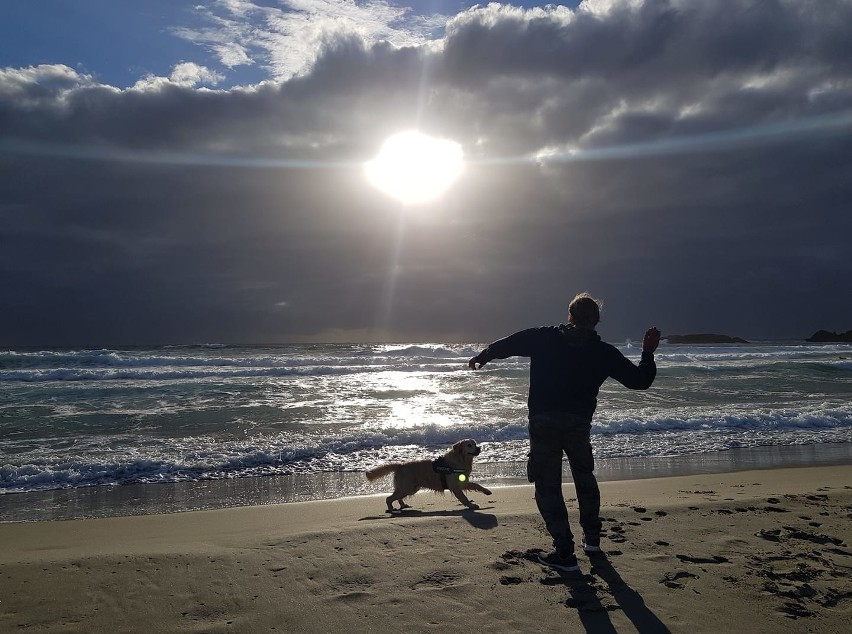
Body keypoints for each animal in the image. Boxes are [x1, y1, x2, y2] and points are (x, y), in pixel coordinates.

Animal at [364, 436, 492, 512]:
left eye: (475, 444)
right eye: (469, 445)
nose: (479, 448)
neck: (460, 459)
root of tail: (400, 465)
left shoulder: (462, 482)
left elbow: (476, 485)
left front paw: (487, 491)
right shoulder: (455, 486)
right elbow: (464, 498)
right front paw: (472, 506)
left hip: (410, 488)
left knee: (398, 497)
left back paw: (403, 505)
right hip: (407, 487)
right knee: (388, 498)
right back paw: (391, 508)